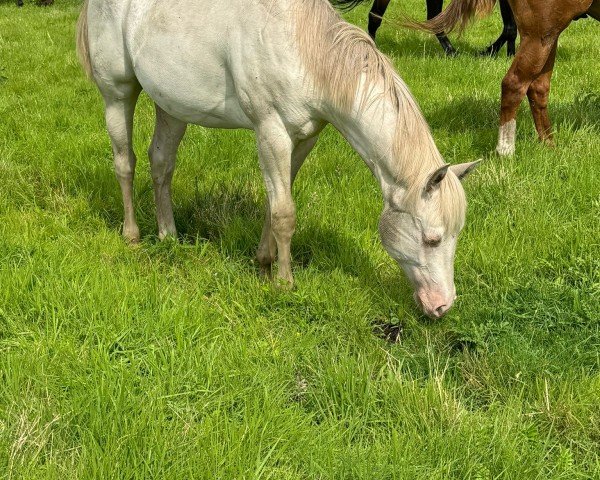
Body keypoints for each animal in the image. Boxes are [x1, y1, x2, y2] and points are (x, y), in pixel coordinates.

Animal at [76, 0, 478, 318]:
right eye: (431, 239)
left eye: (455, 235)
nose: (442, 306)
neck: (304, 49)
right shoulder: (271, 132)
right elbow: (285, 213)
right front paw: (284, 282)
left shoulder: (303, 139)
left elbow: (276, 203)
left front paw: (264, 263)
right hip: (118, 94)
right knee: (125, 163)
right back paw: (132, 235)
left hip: (171, 106)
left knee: (161, 164)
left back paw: (168, 235)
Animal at [410, 0, 600, 156]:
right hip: (541, 34)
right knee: (514, 84)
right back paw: (506, 150)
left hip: (549, 35)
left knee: (537, 87)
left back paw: (549, 145)